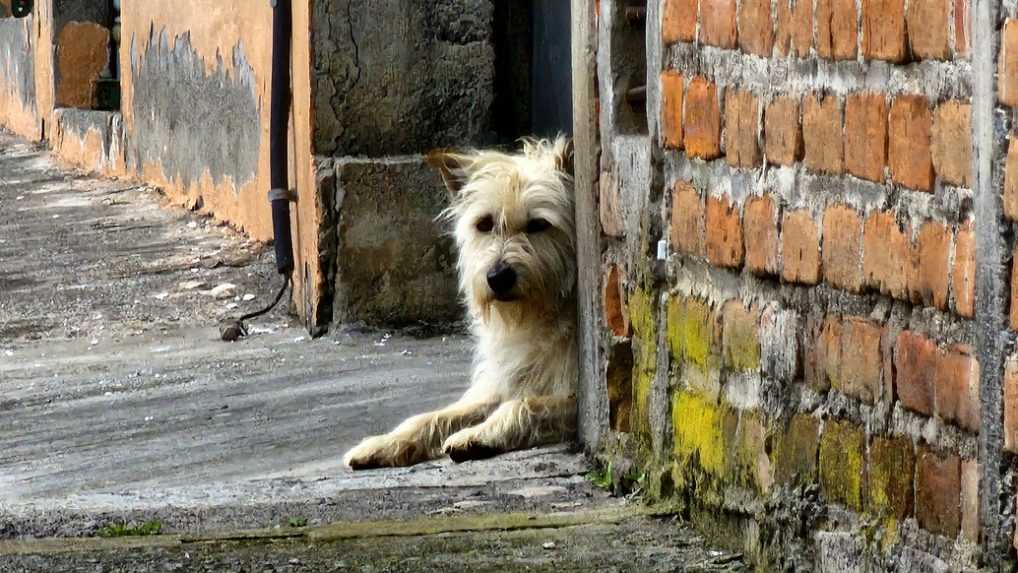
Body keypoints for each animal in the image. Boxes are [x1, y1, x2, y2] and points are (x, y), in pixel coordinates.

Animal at [344, 139, 578, 470]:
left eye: (538, 225)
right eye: (484, 224)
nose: (497, 277)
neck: (541, 313)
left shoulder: (578, 398)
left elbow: (522, 405)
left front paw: (480, 434)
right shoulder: (503, 382)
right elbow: (434, 416)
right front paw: (385, 443)